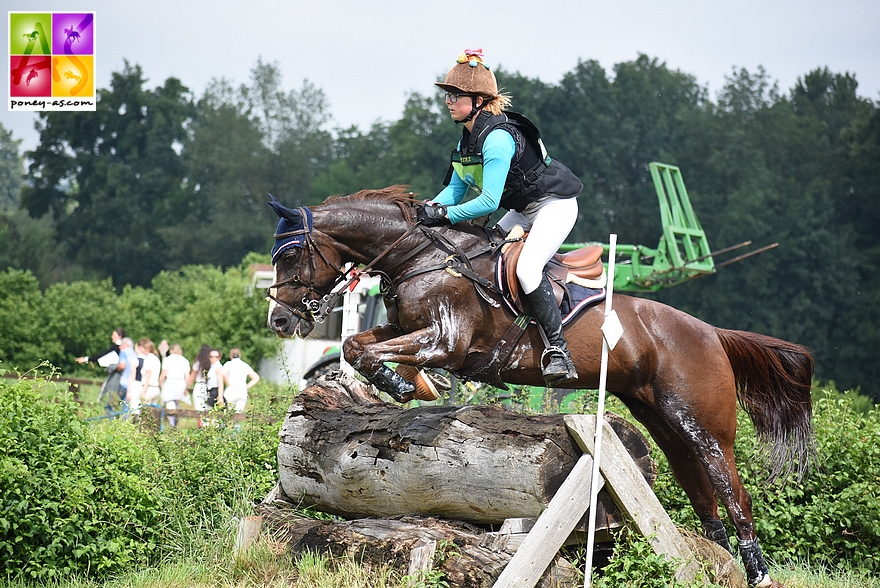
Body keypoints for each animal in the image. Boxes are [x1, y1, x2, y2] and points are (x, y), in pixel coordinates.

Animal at [266, 186, 812, 584]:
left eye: (290, 258)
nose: (279, 320)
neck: (420, 257)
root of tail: (711, 332)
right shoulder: (406, 330)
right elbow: (357, 343)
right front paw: (403, 386)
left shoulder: (446, 342)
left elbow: (372, 351)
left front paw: (402, 386)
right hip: (663, 421)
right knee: (702, 493)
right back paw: (712, 562)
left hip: (705, 425)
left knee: (733, 493)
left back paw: (757, 573)